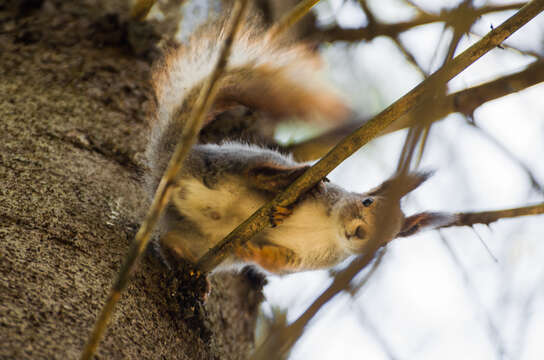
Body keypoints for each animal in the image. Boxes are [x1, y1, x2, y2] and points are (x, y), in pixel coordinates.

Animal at [144, 18, 446, 274]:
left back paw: (181, 260)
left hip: (199, 241)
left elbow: (276, 264)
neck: (329, 229)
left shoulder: (301, 259)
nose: (360, 233)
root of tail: (169, 165)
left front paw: (251, 252)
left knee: (172, 240)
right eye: (367, 201)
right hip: (231, 160)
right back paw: (281, 179)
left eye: (383, 242)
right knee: (250, 169)